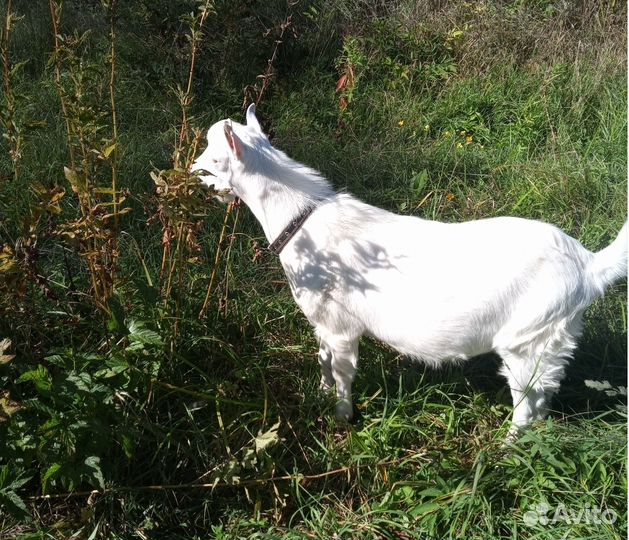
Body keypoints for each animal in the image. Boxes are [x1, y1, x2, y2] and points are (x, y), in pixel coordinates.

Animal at [194, 105, 624, 438]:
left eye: (214, 157)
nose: (191, 168)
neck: (301, 219)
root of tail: (588, 266)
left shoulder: (342, 327)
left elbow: (343, 372)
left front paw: (342, 417)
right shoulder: (322, 322)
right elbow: (323, 361)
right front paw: (320, 394)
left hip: (526, 342)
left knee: (528, 402)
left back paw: (508, 448)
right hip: (552, 342)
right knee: (545, 395)